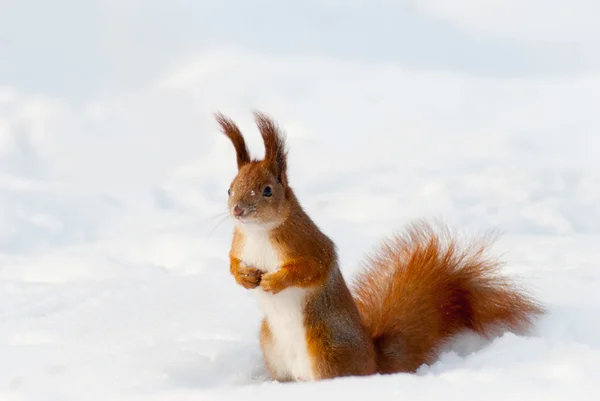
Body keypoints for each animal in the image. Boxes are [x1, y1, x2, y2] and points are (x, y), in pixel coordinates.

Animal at [216, 111, 544, 382]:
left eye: (267, 191)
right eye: (230, 188)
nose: (237, 210)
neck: (259, 233)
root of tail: (373, 362)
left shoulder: (310, 245)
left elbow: (312, 268)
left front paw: (274, 281)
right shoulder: (239, 245)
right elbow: (232, 262)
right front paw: (244, 277)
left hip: (326, 346)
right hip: (272, 346)